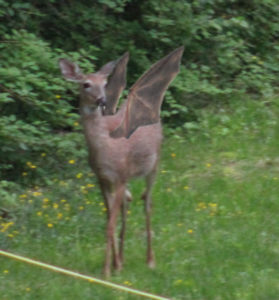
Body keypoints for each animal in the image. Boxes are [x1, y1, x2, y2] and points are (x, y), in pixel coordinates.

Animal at [59, 47, 185, 276]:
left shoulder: (120, 175)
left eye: (105, 83)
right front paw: (116, 264)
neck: (104, 149)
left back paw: (150, 260)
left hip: (154, 165)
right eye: (85, 84)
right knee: (129, 203)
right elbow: (109, 218)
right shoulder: (103, 179)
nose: (101, 100)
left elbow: (110, 224)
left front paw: (107, 271)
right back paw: (124, 259)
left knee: (147, 202)